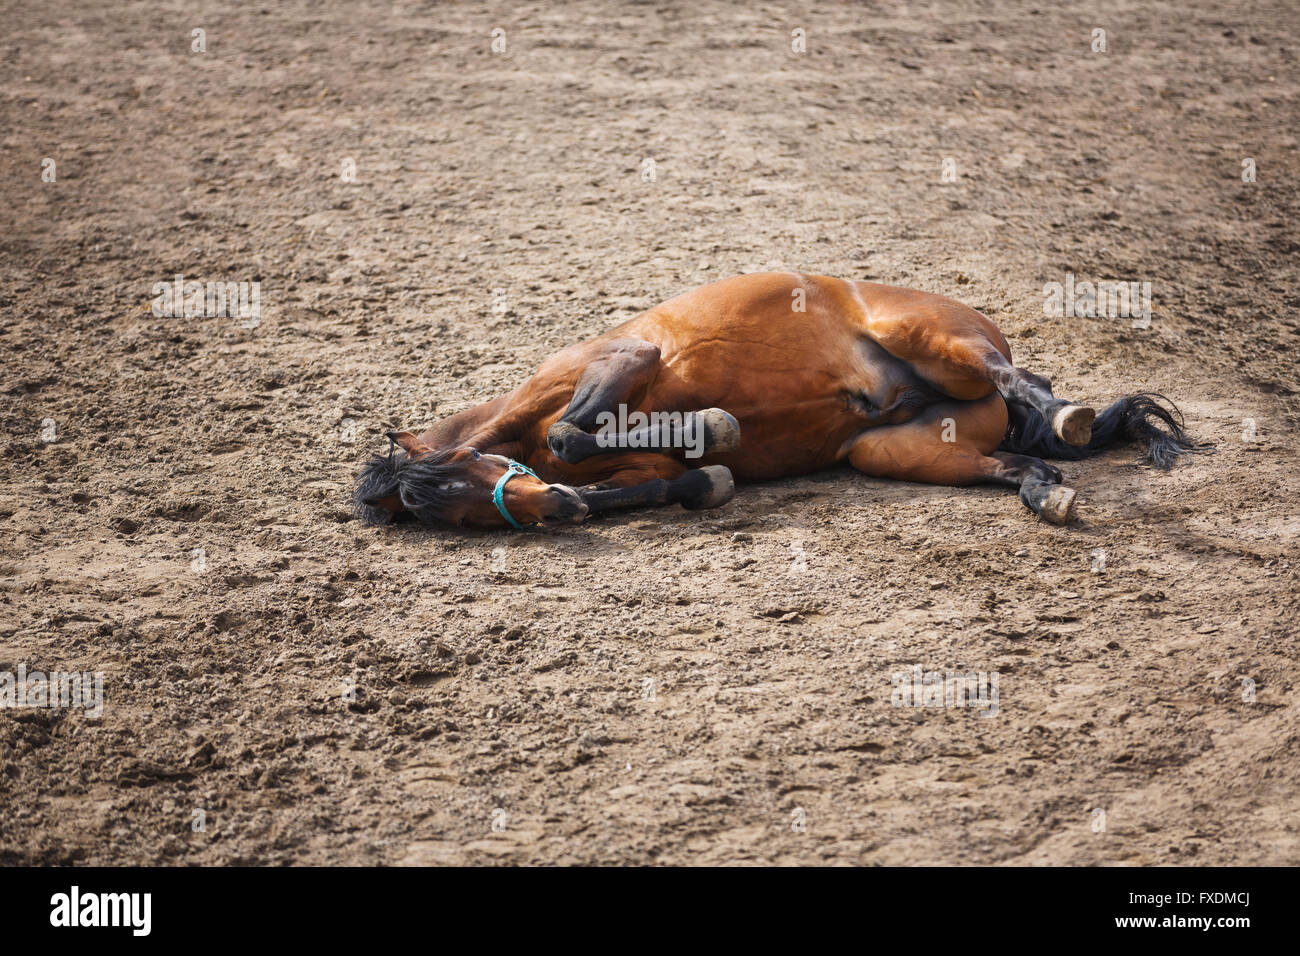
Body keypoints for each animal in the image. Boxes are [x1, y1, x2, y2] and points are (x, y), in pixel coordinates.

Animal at [351, 273, 1190, 530]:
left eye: (456, 482)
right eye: (447, 513)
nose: (552, 513)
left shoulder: (622, 362)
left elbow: (569, 434)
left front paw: (713, 431)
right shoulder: (637, 469)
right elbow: (662, 480)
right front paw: (706, 469)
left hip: (928, 336)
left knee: (1029, 386)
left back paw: (1062, 414)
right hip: (896, 450)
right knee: (1011, 463)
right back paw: (1045, 492)